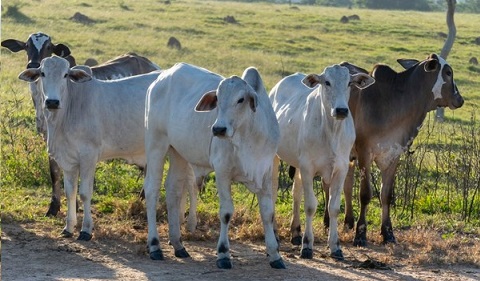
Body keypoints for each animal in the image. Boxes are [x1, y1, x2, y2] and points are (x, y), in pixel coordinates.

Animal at [19, 55, 161, 240]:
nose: (52, 102)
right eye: (42, 73)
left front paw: (86, 230)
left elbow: (85, 193)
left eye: (66, 75)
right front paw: (68, 227)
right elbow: (70, 193)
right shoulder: (68, 160)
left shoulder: (88, 157)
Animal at [142, 62, 284, 268]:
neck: (249, 136)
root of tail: (161, 78)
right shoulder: (222, 171)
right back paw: (154, 246)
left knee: (173, 190)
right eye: (217, 98)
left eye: (241, 99)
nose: (218, 129)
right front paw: (223, 254)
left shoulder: (265, 171)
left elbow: (268, 213)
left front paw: (275, 255)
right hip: (156, 144)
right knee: (152, 189)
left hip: (178, 152)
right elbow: (226, 212)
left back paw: (178, 244)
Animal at [270, 64, 376, 260]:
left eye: (349, 83)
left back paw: (295, 233)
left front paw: (335, 246)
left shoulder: (341, 168)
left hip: (298, 165)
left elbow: (333, 207)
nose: (341, 110)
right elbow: (310, 206)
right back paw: (275, 234)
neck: (331, 131)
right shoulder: (308, 168)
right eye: (327, 82)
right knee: (272, 192)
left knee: (296, 193)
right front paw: (307, 245)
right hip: (275, 157)